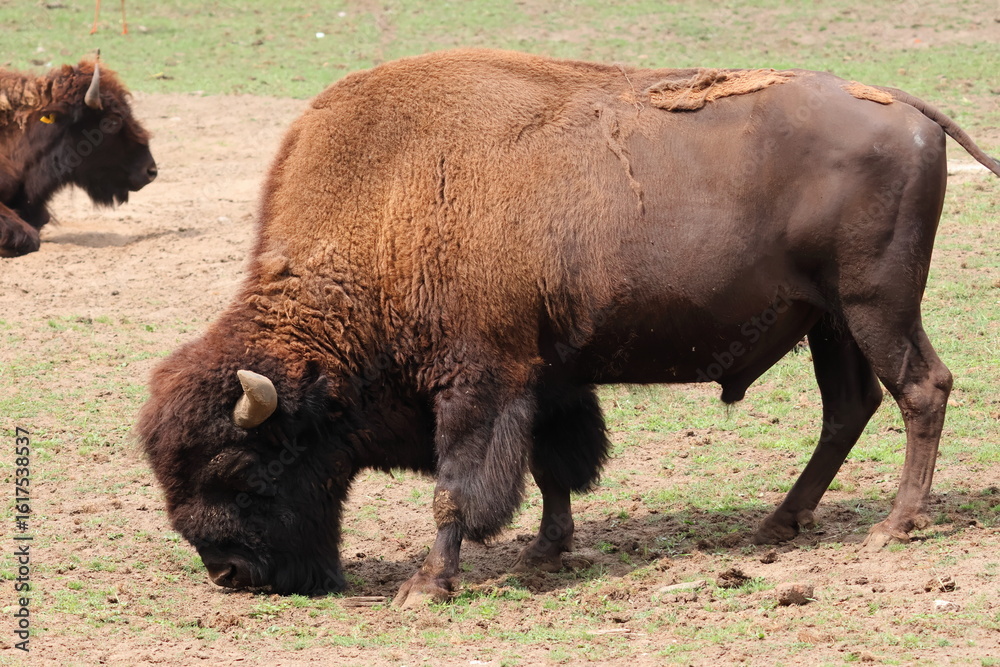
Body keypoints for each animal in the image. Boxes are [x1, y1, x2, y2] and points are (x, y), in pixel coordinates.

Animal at [138, 49, 1000, 607]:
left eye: (242, 468)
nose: (231, 574)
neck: (384, 207)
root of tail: (906, 105)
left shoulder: (477, 384)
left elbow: (458, 490)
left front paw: (426, 585)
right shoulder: (547, 380)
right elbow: (556, 465)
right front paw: (545, 551)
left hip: (875, 306)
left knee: (921, 389)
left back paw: (892, 526)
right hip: (830, 321)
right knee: (849, 408)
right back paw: (778, 522)